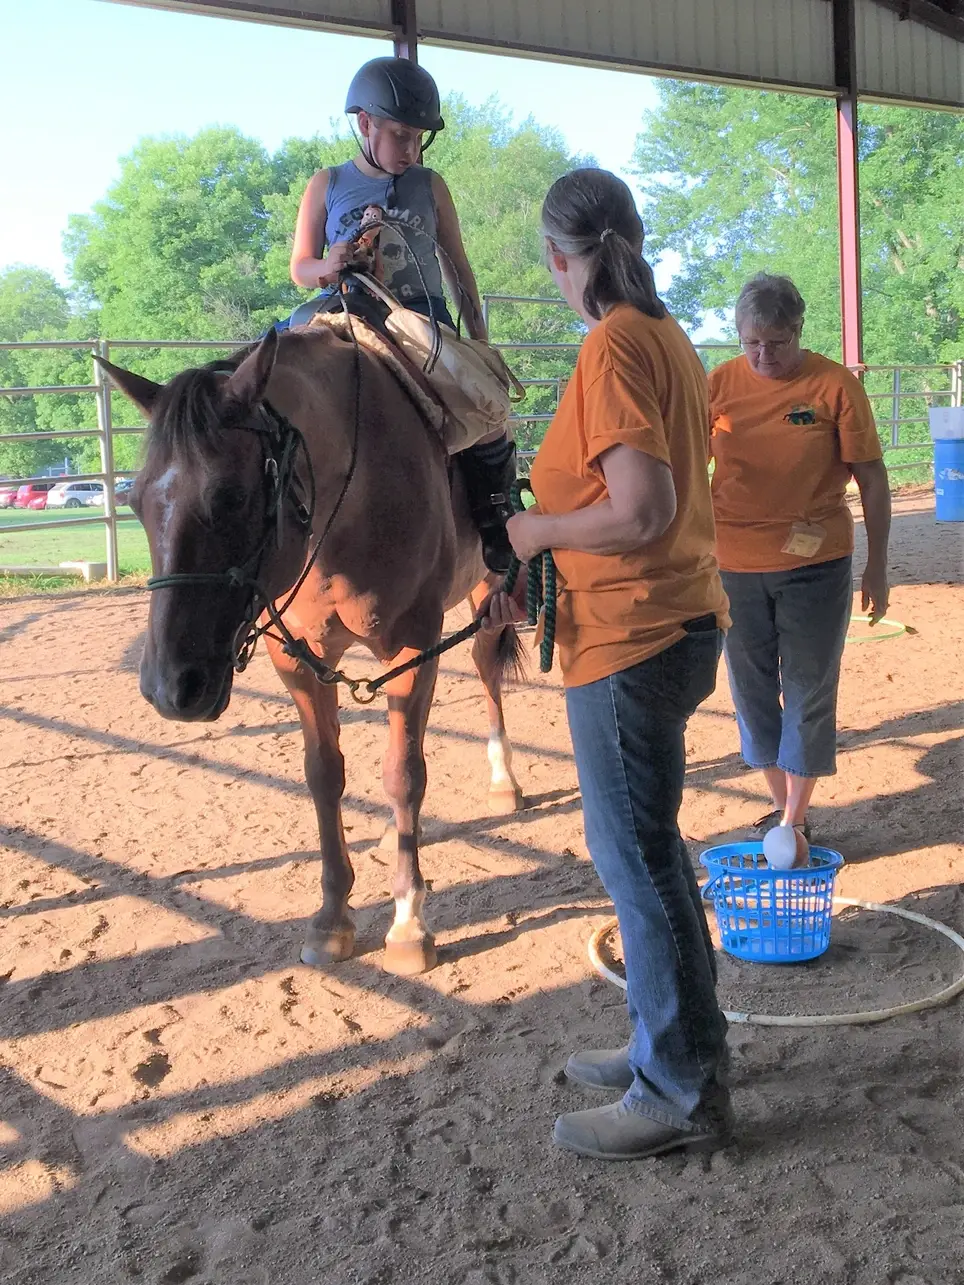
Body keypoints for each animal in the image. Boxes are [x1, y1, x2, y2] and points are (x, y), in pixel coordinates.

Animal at [99, 321, 524, 976]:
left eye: (231, 498)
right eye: (135, 501)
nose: (170, 688)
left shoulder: (412, 646)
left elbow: (403, 773)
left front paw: (408, 923)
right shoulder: (297, 659)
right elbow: (325, 774)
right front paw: (331, 920)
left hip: (486, 594)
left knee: (483, 669)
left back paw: (504, 780)